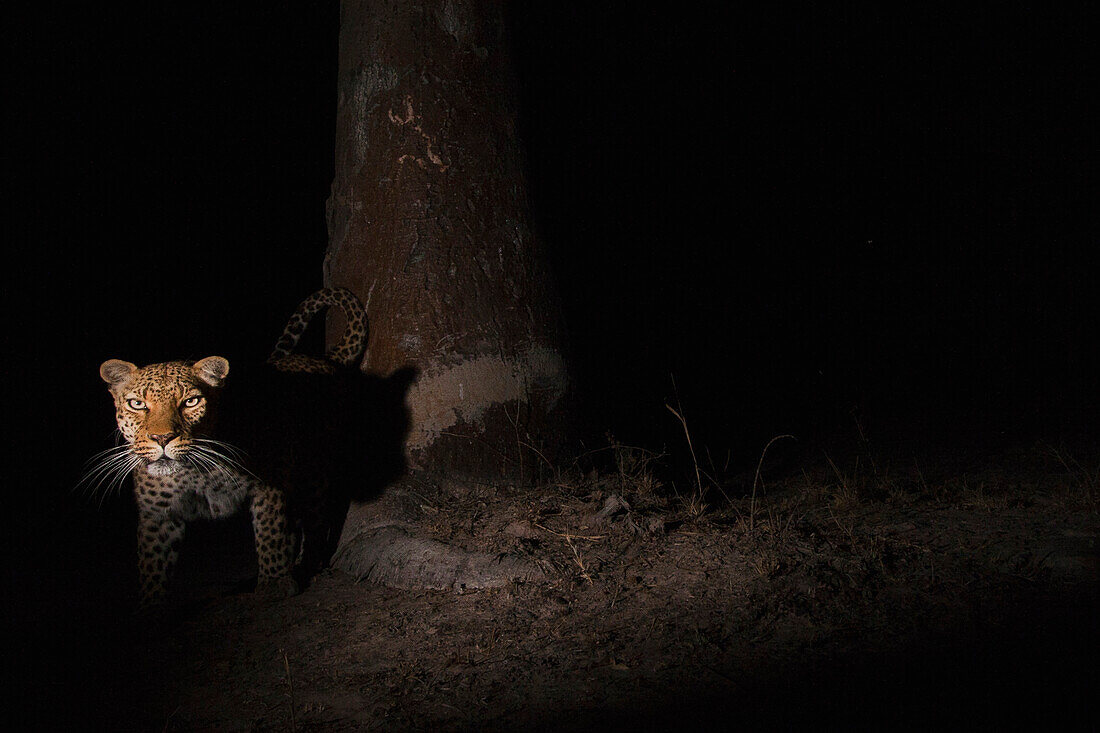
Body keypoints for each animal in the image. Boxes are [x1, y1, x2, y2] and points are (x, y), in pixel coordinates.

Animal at [95, 286, 369, 603]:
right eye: (137, 404)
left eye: (191, 402)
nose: (162, 438)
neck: (192, 472)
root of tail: (325, 359)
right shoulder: (158, 514)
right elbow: (153, 561)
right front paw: (152, 602)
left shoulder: (270, 483)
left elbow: (270, 531)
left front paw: (273, 582)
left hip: (314, 470)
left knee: (314, 517)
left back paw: (307, 562)